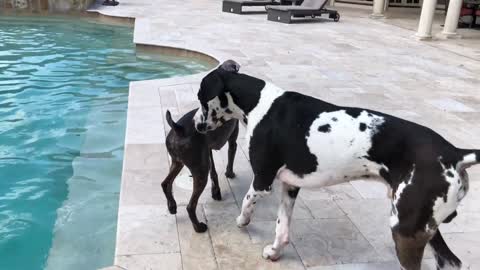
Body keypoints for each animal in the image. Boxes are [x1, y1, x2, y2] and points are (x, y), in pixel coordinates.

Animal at [192, 60, 480, 268]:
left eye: (200, 98)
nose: (196, 125)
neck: (259, 103)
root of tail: (455, 153)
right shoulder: (290, 186)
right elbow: (281, 228)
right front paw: (275, 252)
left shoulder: (263, 180)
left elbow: (246, 202)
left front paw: (242, 221)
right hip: (424, 227)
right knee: (452, 262)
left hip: (405, 230)